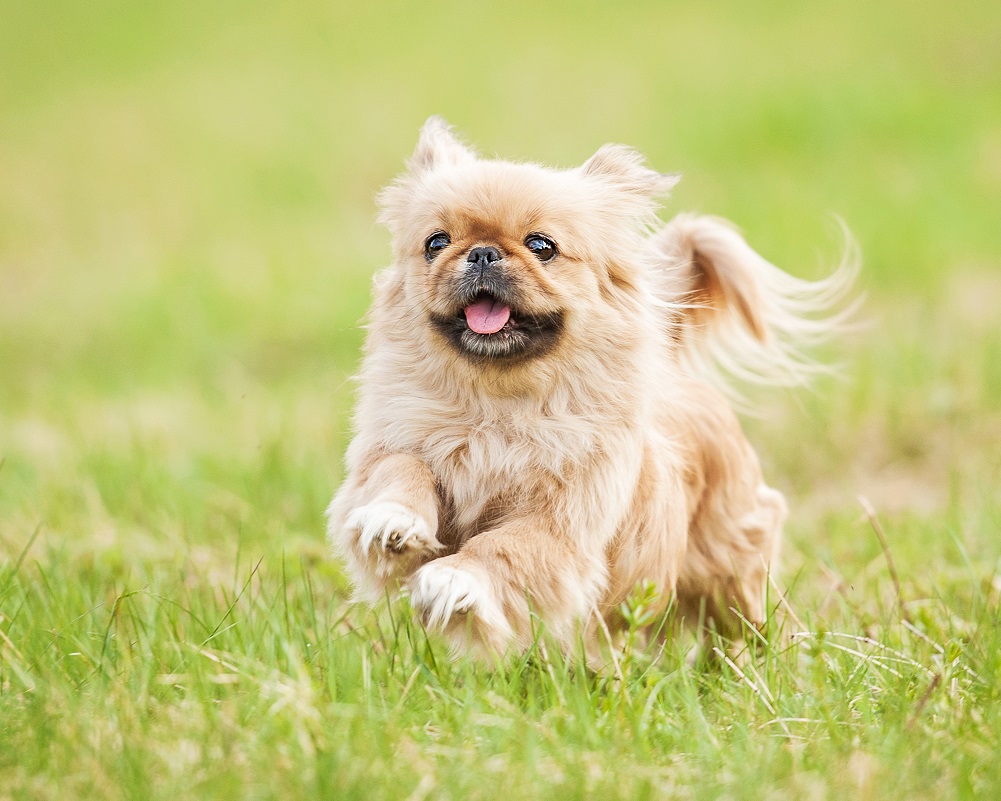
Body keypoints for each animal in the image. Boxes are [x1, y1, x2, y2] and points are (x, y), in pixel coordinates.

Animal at [324, 117, 856, 656]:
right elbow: (400, 472)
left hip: (731, 568)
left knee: (747, 616)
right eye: (436, 243)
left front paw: (455, 579)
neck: (495, 408)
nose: (482, 252)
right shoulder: (397, 444)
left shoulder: (559, 524)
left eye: (541, 246)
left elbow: (499, 548)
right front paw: (392, 519)